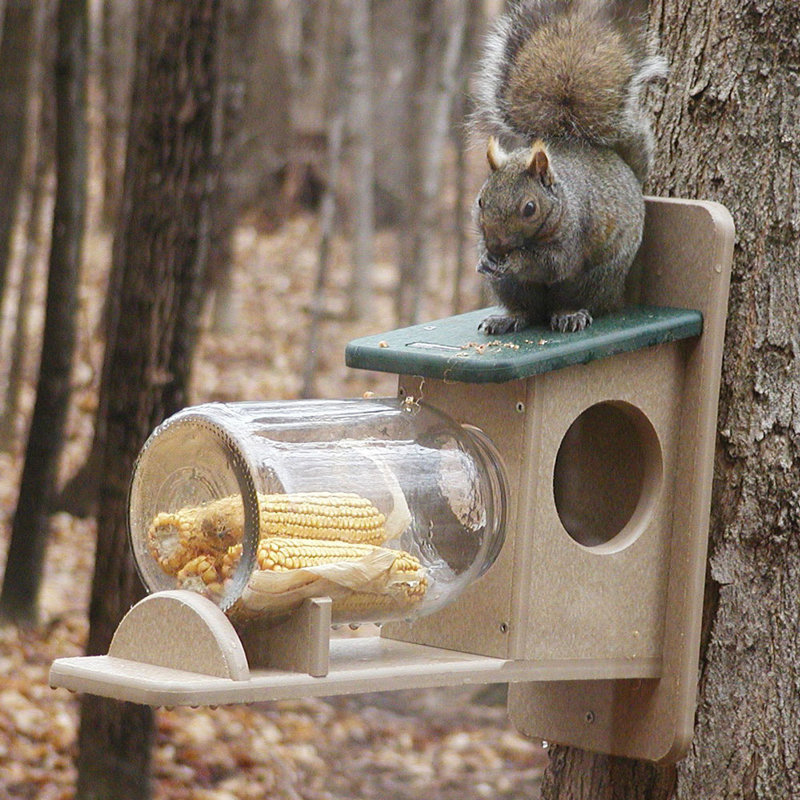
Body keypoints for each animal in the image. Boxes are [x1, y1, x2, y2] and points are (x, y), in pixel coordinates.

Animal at [470, 0, 666, 334]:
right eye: (481, 201)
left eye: (530, 208)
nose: (496, 248)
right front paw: (484, 258)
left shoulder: (572, 234)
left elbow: (550, 263)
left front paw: (515, 260)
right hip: (510, 288)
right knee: (526, 309)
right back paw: (507, 318)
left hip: (595, 279)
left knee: (576, 300)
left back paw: (570, 314)